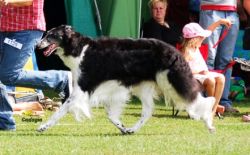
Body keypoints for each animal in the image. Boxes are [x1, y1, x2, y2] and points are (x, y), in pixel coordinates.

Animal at [36, 25, 216, 133]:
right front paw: (122, 127)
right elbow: (111, 115)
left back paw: (209, 124)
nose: (37, 45)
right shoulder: (113, 89)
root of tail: (176, 51)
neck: (80, 49)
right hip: (145, 87)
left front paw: (43, 126)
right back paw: (132, 129)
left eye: (52, 36)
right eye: (45, 34)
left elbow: (61, 110)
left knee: (203, 100)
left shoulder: (83, 89)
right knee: (148, 111)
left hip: (173, 82)